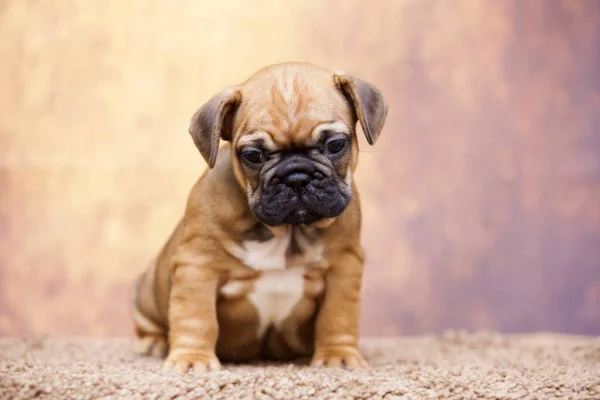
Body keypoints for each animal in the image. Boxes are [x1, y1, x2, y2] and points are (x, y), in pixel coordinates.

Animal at [131, 61, 390, 372]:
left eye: (336, 144)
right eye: (253, 155)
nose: (296, 176)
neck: (288, 232)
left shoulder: (344, 266)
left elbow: (337, 315)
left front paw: (337, 355)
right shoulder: (198, 265)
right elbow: (196, 316)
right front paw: (192, 359)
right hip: (148, 289)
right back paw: (154, 343)